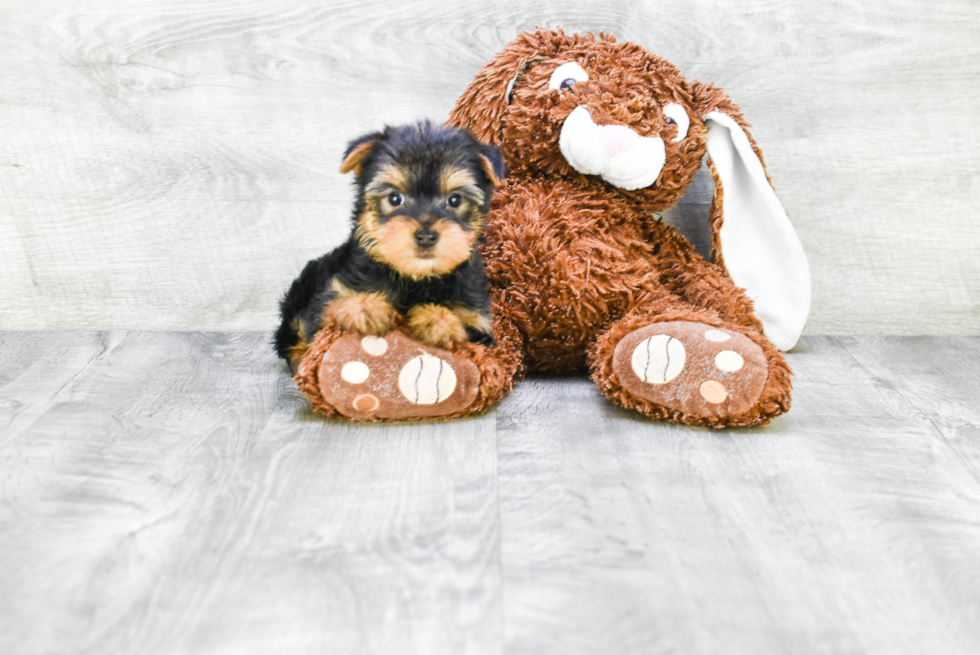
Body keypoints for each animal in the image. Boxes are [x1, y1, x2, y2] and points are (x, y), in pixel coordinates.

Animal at [274, 121, 506, 372]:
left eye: (455, 200)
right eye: (395, 198)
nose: (426, 236)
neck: (416, 277)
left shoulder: (480, 324)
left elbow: (468, 329)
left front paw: (437, 320)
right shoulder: (333, 291)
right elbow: (328, 309)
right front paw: (364, 307)